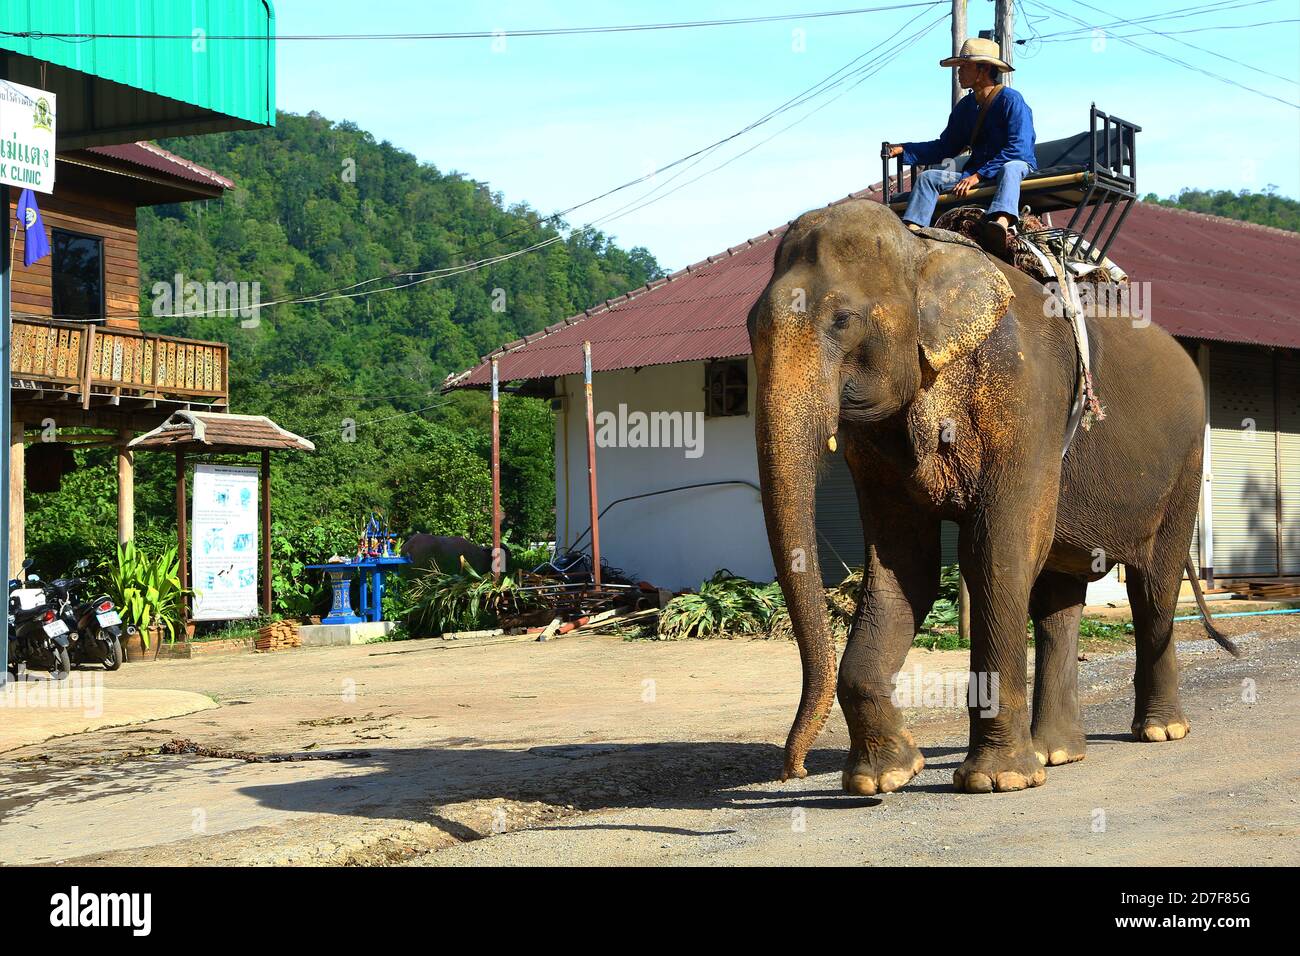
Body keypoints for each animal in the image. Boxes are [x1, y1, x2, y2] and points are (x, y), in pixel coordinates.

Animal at [747, 199, 1235, 796]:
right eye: (749, 327)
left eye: (842, 319)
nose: (791, 770)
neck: (923, 251)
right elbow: (903, 565)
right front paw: (880, 780)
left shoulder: (1027, 398)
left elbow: (996, 553)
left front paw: (995, 781)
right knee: (1059, 594)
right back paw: (1057, 753)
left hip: (1185, 463)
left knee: (1153, 585)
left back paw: (1159, 732)